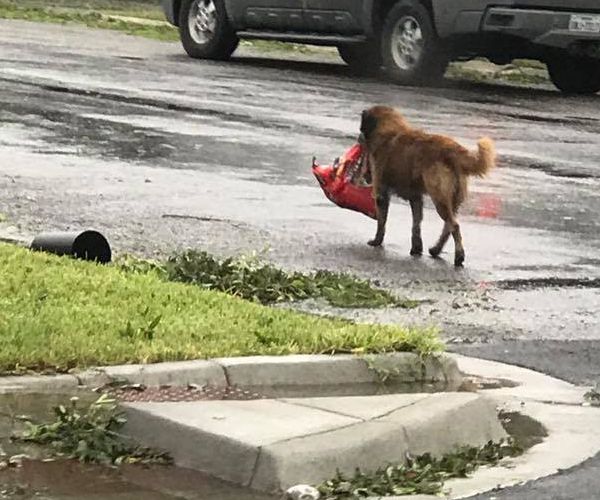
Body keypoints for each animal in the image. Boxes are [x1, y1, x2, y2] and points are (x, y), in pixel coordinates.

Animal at [358, 105, 494, 268]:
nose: (358, 138)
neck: (389, 129)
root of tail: (452, 149)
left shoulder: (381, 193)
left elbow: (382, 222)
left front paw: (377, 241)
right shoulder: (416, 198)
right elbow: (416, 224)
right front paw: (416, 248)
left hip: (439, 198)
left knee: (454, 225)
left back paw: (459, 257)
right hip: (452, 200)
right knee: (448, 226)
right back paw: (436, 249)